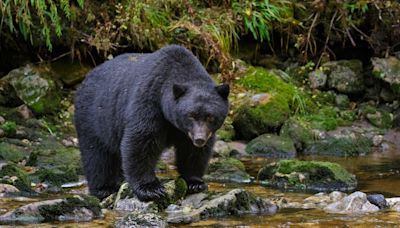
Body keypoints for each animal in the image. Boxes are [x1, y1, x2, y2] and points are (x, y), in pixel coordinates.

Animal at [74, 45, 230, 201]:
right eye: (191, 115)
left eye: (210, 117)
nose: (199, 139)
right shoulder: (149, 100)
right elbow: (142, 141)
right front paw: (150, 188)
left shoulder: (188, 132)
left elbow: (192, 151)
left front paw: (195, 182)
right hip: (94, 117)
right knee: (97, 155)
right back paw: (104, 188)